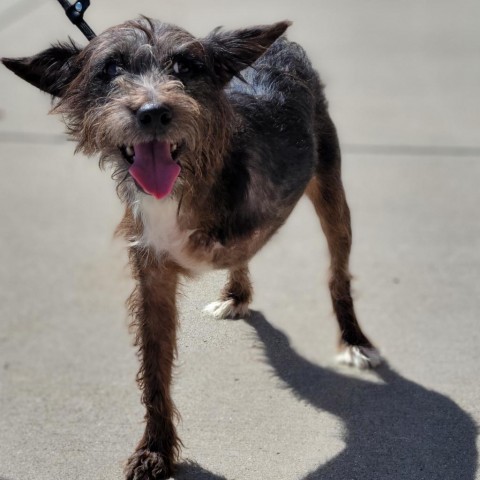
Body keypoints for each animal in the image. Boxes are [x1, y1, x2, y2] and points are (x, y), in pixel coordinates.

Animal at [1, 16, 380, 480]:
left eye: (185, 66)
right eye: (109, 69)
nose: (153, 112)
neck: (185, 181)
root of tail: (283, 46)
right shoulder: (152, 276)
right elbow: (155, 368)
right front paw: (156, 450)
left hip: (331, 190)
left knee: (337, 272)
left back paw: (353, 339)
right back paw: (236, 293)